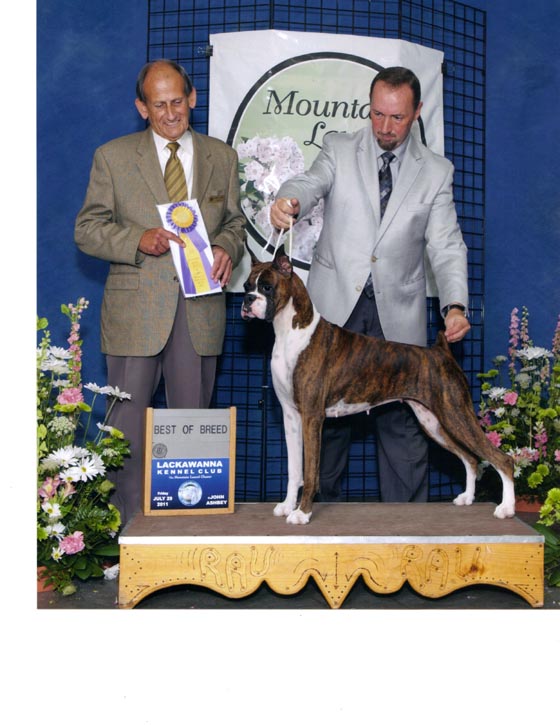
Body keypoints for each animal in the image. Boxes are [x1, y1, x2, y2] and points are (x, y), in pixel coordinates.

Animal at [241, 248, 515, 525]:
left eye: (266, 287)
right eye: (246, 286)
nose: (247, 300)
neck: (292, 331)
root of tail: (441, 352)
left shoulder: (311, 417)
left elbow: (310, 473)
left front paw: (303, 513)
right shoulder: (291, 417)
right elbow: (294, 470)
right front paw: (288, 506)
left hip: (456, 414)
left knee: (501, 459)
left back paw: (506, 508)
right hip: (434, 422)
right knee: (470, 457)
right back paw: (467, 498)